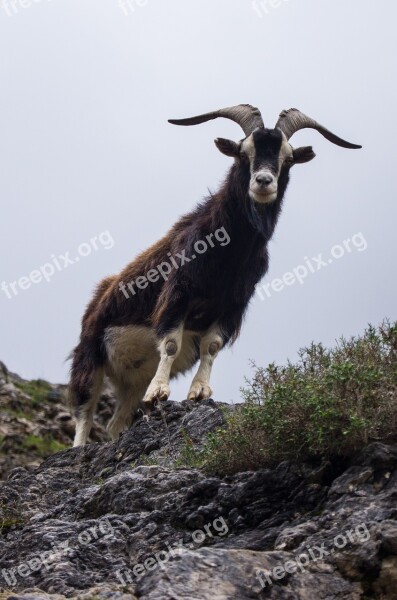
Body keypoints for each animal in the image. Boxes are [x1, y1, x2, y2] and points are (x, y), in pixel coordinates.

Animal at [69, 104, 360, 446]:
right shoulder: (178, 293)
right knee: (85, 412)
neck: (227, 252)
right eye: (243, 152)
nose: (263, 181)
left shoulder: (233, 306)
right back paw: (79, 446)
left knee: (115, 423)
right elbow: (171, 343)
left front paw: (199, 392)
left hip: (132, 380)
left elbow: (211, 346)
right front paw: (160, 392)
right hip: (90, 357)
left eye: (287, 158)